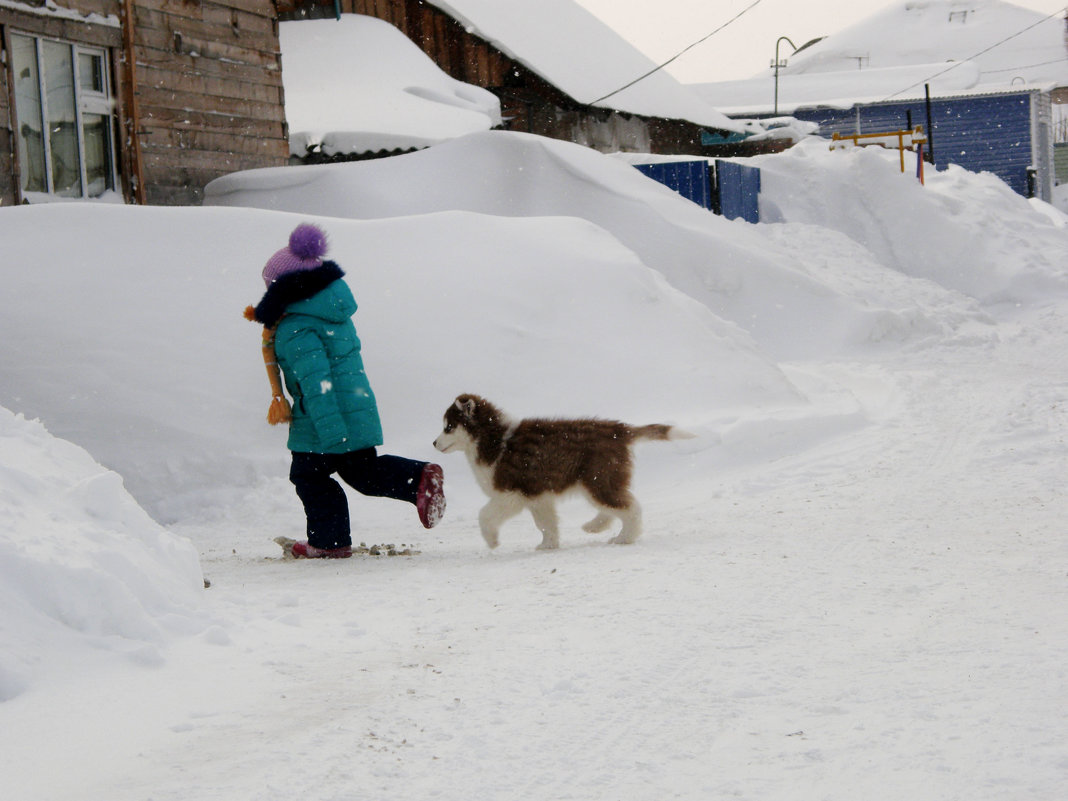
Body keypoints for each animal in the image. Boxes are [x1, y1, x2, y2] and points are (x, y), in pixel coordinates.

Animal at [433, 395, 692, 551]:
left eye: (449, 427)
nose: (434, 443)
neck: (493, 440)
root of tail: (620, 429)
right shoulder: (537, 496)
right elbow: (546, 523)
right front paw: (548, 545)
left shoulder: (511, 493)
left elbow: (484, 515)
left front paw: (492, 540)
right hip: (598, 480)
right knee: (614, 506)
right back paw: (594, 526)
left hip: (597, 479)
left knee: (630, 507)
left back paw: (624, 537)